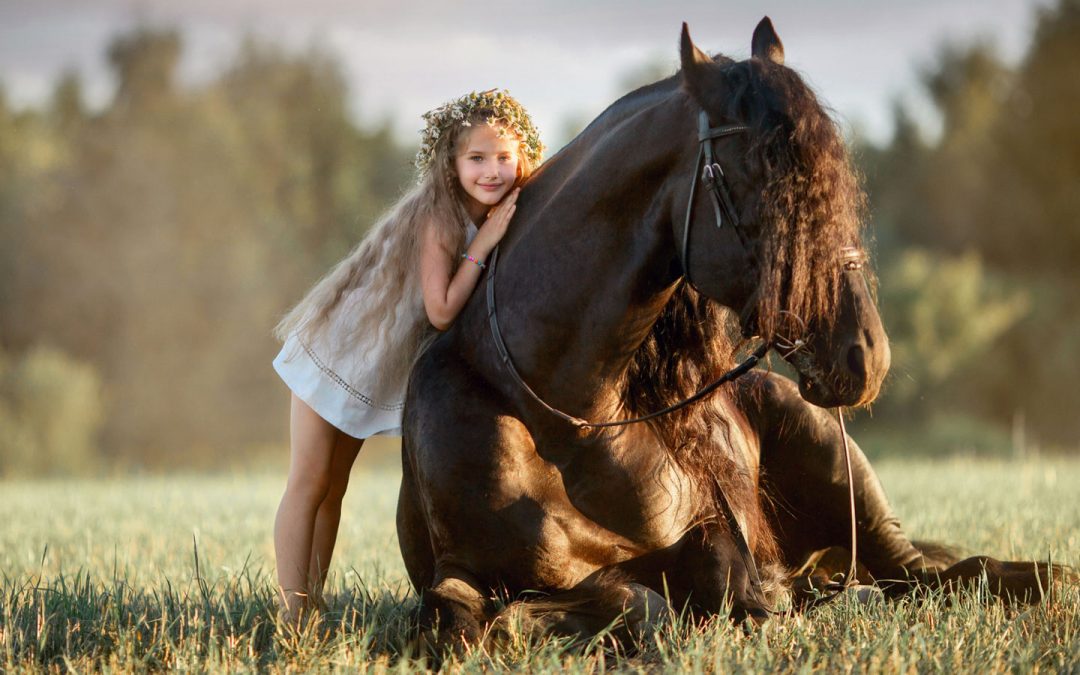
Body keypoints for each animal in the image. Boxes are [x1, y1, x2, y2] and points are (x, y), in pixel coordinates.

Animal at [397, 18, 1054, 643]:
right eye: (770, 182)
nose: (868, 356)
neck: (568, 416)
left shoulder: (710, 533)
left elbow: (710, 587)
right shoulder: (460, 573)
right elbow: (488, 618)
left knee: (934, 575)